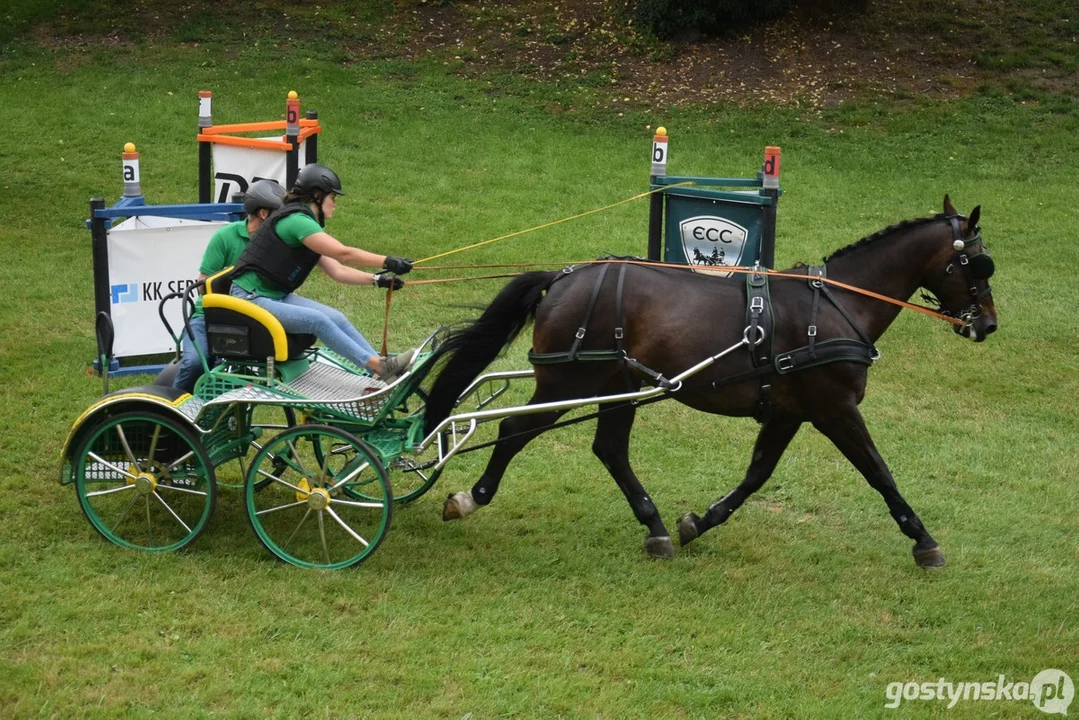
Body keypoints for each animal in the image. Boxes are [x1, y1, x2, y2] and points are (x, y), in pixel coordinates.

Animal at [418, 198, 992, 569]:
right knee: (515, 431)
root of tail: (562, 278)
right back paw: (471, 497)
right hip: (567, 383)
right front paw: (923, 540)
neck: (836, 306)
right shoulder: (835, 408)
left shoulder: (790, 410)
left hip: (618, 386)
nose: (987, 324)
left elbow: (757, 474)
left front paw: (700, 521)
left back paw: (655, 528)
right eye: (977, 263)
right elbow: (879, 472)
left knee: (609, 450)